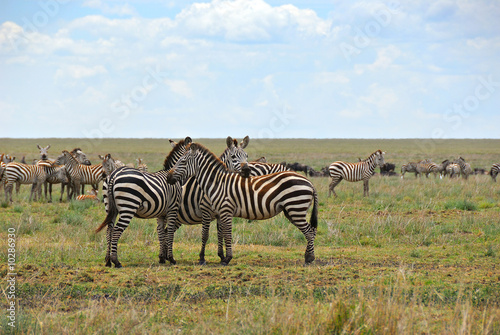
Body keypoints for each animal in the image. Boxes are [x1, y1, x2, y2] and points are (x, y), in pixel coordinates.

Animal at [166, 142, 318, 268]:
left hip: (296, 208)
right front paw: (223, 257)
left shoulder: (225, 210)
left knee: (309, 231)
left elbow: (226, 234)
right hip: (292, 210)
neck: (217, 183)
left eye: (183, 161)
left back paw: (309, 258)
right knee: (310, 230)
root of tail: (309, 182)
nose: (168, 177)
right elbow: (222, 234)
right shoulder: (220, 212)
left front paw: (226, 259)